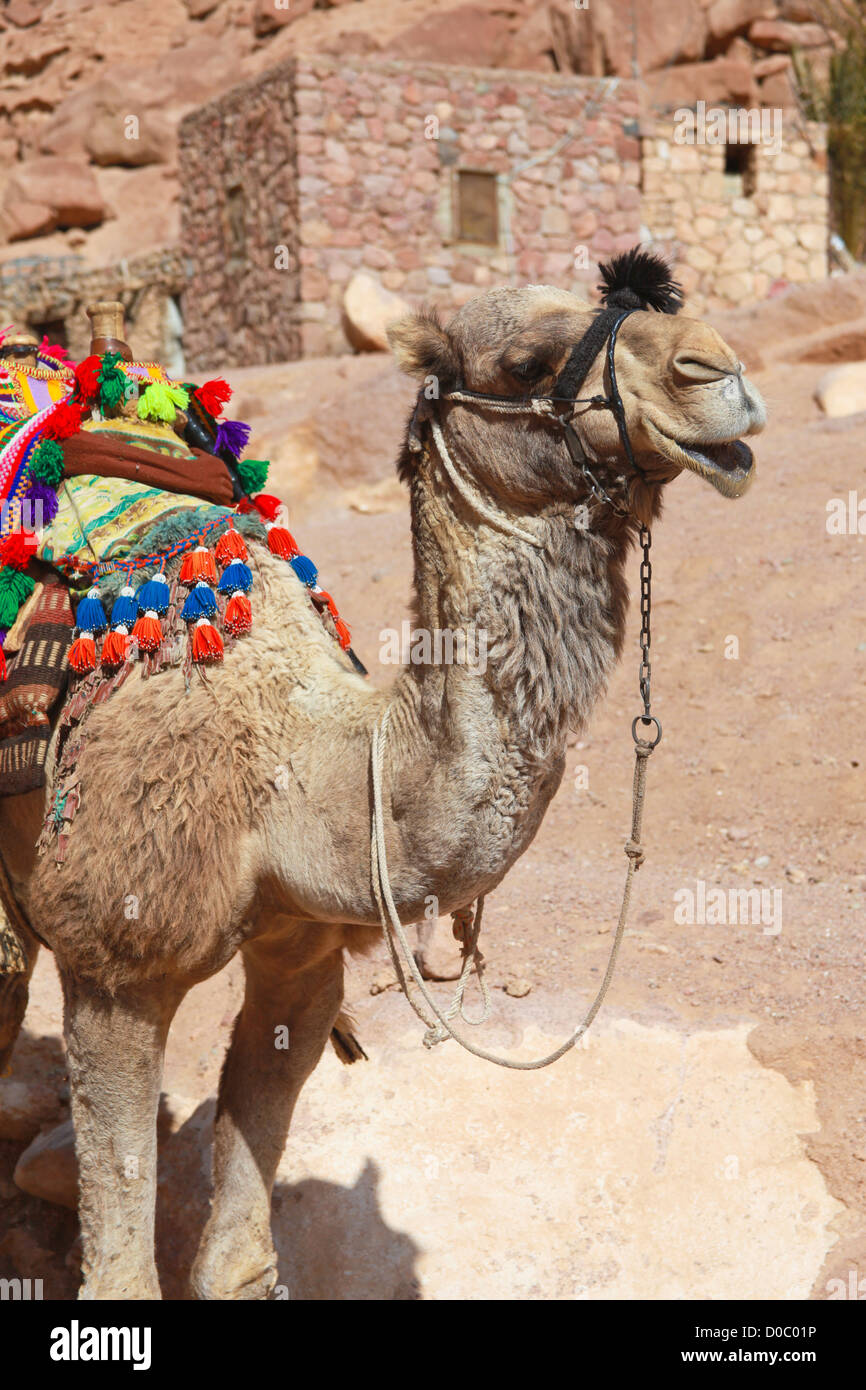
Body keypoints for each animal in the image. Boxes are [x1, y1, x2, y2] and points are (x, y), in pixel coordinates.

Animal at [0, 255, 767, 1295]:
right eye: (525, 362)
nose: (716, 369)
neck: (286, 772)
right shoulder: (116, 965)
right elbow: (122, 1272)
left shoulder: (304, 956)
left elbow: (237, 1260)